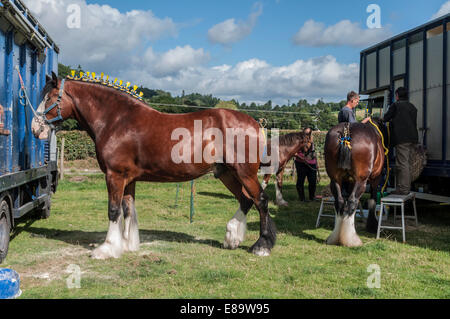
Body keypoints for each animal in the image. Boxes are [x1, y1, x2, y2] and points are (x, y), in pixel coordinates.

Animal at [31, 72, 312, 260]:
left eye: (51, 97)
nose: (36, 128)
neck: (117, 120)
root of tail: (255, 123)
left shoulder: (114, 176)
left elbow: (113, 211)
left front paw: (106, 248)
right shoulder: (128, 179)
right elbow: (128, 210)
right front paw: (128, 245)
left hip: (244, 173)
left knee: (261, 200)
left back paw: (261, 245)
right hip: (226, 174)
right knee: (245, 200)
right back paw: (232, 238)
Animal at [324, 120, 384, 248]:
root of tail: (346, 132)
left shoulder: (349, 181)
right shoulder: (375, 178)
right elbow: (372, 201)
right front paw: (372, 225)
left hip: (335, 180)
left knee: (340, 201)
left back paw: (335, 237)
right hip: (361, 180)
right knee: (352, 201)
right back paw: (351, 239)